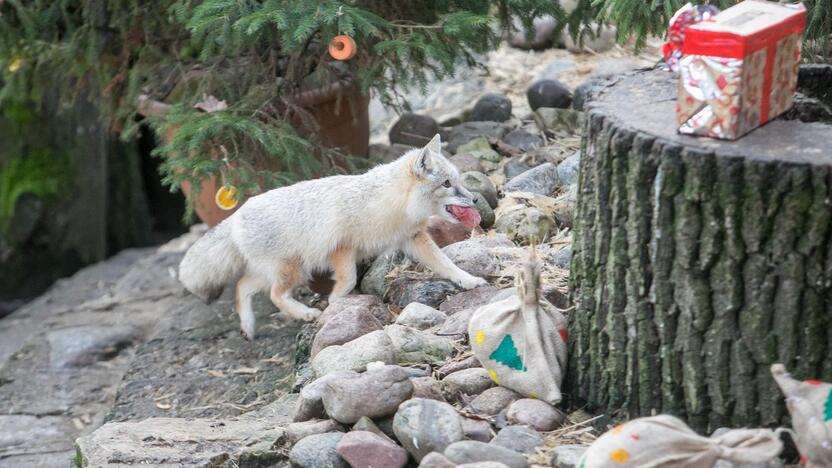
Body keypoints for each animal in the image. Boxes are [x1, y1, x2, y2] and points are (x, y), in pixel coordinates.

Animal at [178, 133, 484, 338]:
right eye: (447, 183)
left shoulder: (412, 238)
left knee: (242, 287)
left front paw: (468, 280)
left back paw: (248, 327)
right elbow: (347, 279)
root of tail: (236, 215)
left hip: (276, 271)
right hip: (294, 269)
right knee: (274, 295)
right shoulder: (342, 248)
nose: (476, 199)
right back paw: (305, 313)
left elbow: (445, 264)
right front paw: (334, 305)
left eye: (458, 180)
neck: (387, 204)